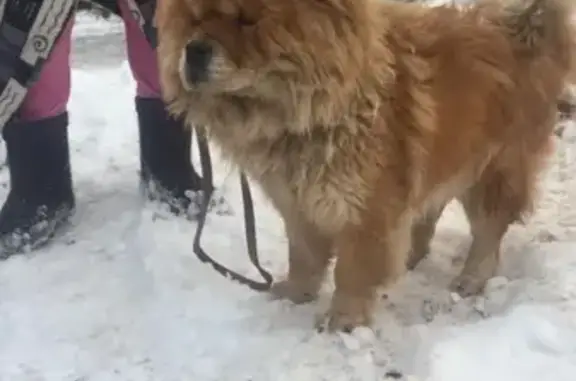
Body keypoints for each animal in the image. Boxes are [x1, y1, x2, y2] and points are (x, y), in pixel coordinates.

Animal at [155, 0, 576, 332]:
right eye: (194, 19)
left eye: (246, 20)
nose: (194, 50)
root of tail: (525, 30)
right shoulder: (298, 203)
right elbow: (304, 258)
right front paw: (294, 295)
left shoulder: (364, 210)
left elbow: (352, 271)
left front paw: (342, 321)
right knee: (428, 213)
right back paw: (410, 259)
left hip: (491, 171)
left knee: (489, 230)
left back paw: (470, 279)